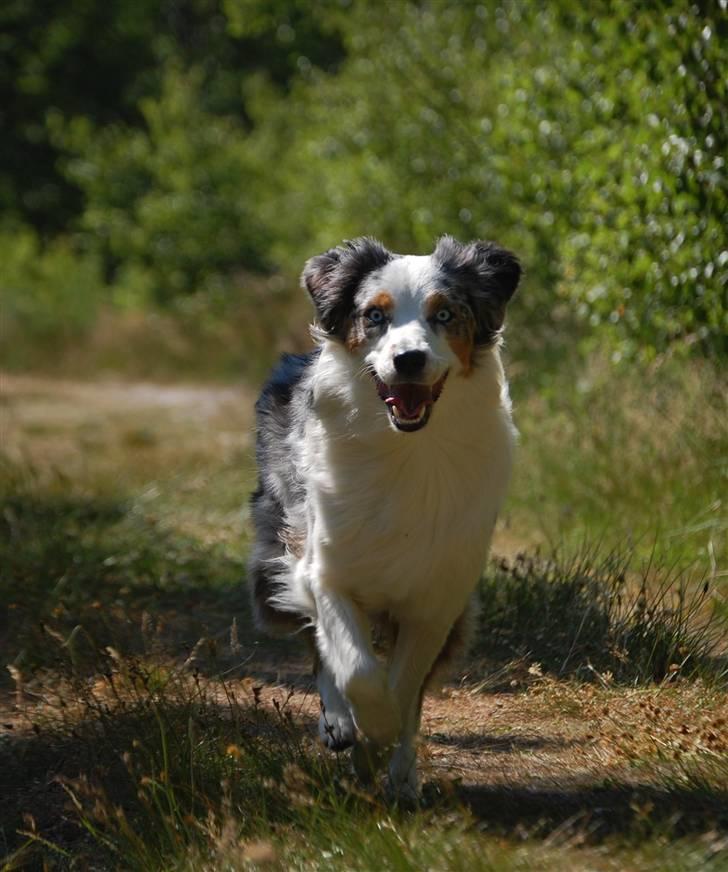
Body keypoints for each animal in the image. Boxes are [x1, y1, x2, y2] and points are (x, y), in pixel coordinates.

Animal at [247, 237, 520, 796]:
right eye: (374, 315)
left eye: (445, 314)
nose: (409, 359)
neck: (406, 451)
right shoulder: (324, 571)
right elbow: (355, 668)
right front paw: (367, 728)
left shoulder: (437, 600)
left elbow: (405, 689)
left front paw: (385, 751)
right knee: (321, 648)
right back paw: (339, 725)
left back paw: (401, 777)